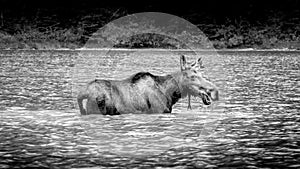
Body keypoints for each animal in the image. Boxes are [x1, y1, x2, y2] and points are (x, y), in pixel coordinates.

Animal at [77, 55, 218, 115]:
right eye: (192, 76)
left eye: (202, 74)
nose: (211, 90)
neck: (170, 94)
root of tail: (82, 95)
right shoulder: (160, 111)